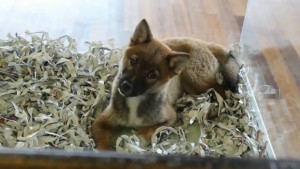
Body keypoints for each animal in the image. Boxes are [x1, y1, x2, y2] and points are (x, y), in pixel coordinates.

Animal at [91, 19, 239, 150]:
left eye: (151, 75)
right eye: (134, 61)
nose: (125, 86)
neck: (136, 101)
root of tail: (203, 43)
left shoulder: (170, 117)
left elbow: (150, 130)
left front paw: (137, 140)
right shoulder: (100, 122)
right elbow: (101, 143)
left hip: (193, 79)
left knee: (222, 92)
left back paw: (209, 111)